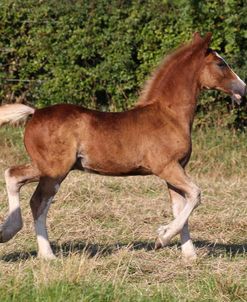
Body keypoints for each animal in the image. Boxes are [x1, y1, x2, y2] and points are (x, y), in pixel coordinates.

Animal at [0, 32, 245, 260]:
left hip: (46, 166)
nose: (243, 89)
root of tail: (35, 112)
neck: (169, 115)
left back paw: (8, 231)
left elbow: (180, 208)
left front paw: (189, 255)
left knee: (13, 175)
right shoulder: (166, 167)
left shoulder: (176, 170)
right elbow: (195, 194)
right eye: (221, 63)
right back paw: (47, 254)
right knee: (38, 202)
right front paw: (163, 237)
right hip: (55, 170)